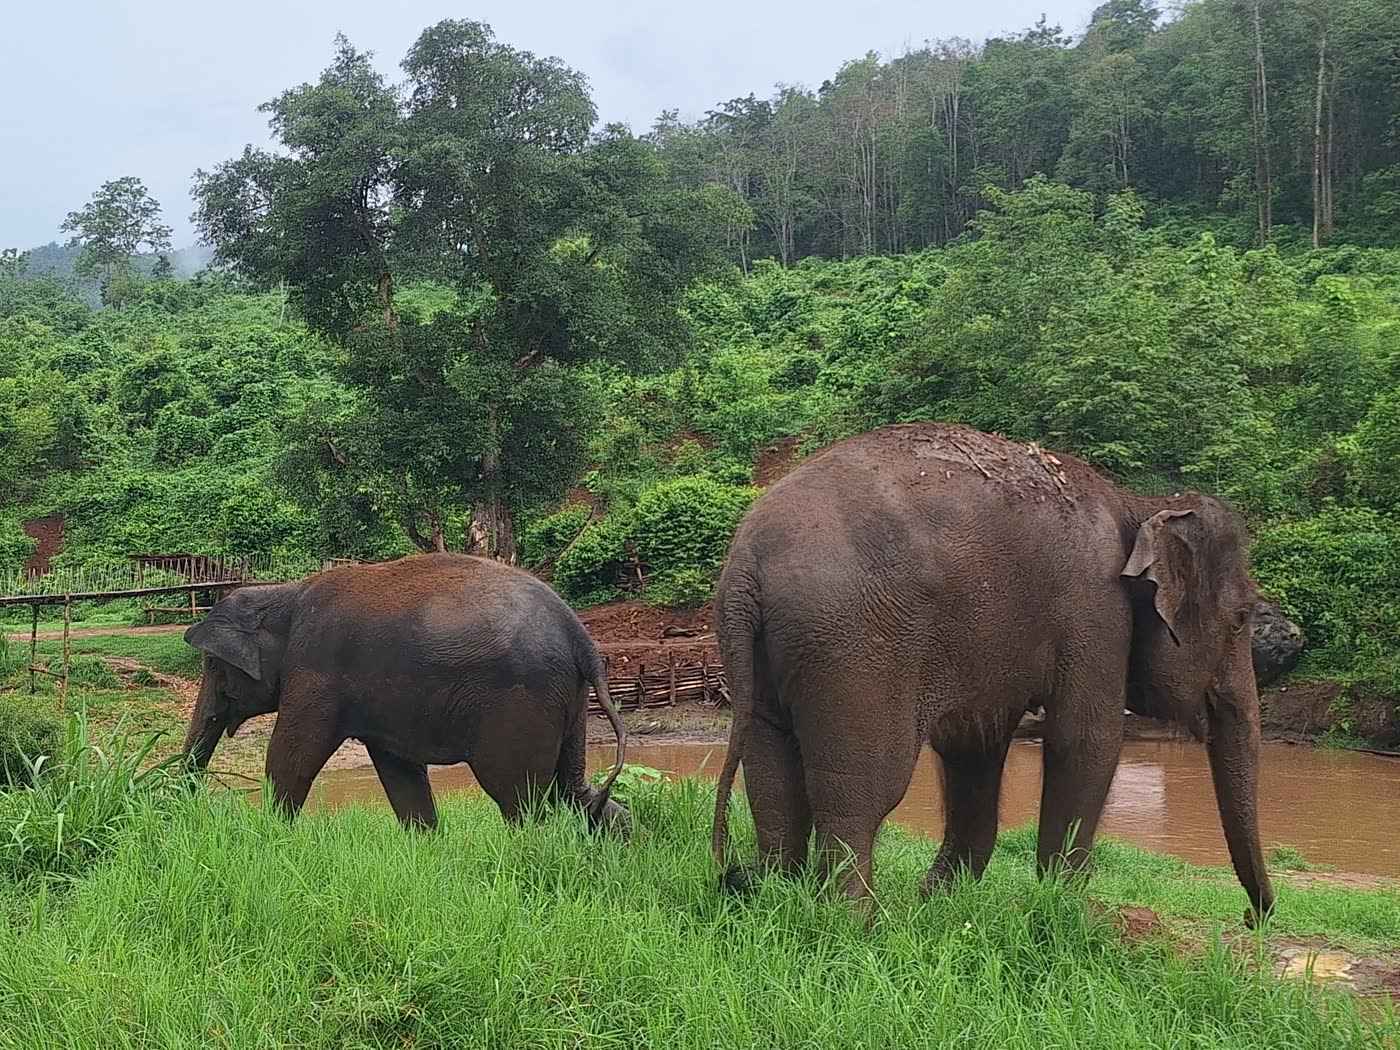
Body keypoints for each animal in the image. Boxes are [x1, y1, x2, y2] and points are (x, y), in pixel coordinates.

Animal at [182, 553, 629, 832]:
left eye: (212, 665)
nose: (176, 803)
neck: (283, 594)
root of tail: (580, 635)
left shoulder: (315, 672)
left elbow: (290, 760)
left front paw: (274, 834)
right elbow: (400, 772)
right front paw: (427, 843)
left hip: (523, 702)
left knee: (520, 797)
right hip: (568, 699)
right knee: (573, 788)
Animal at [711, 422, 1273, 924]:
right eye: (1243, 617)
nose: (1253, 917)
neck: (1137, 503)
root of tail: (748, 566)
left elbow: (973, 747)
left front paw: (941, 900)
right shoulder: (1096, 613)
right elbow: (1086, 740)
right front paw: (1066, 909)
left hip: (768, 653)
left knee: (772, 776)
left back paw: (777, 901)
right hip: (855, 649)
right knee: (861, 791)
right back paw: (856, 924)